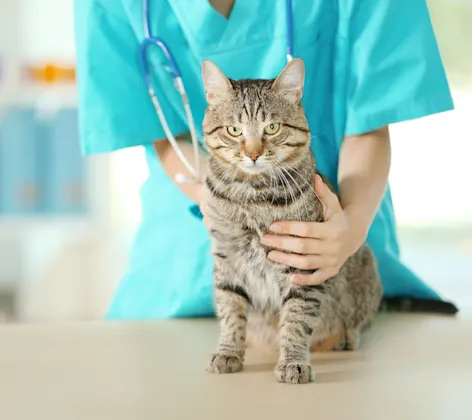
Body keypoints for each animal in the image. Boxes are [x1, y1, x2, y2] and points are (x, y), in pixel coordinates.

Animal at [201, 56, 382, 384]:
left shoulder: (302, 265)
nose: (254, 154)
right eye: (234, 130)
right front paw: (229, 352)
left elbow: (296, 318)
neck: (253, 197)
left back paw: (344, 337)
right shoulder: (227, 260)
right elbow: (231, 311)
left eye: (272, 128)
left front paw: (293, 362)